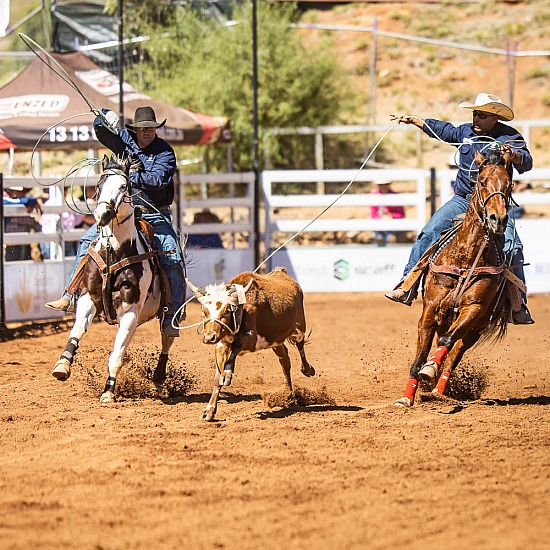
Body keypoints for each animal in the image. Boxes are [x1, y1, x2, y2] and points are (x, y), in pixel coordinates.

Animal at [51, 153, 176, 404]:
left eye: (123, 186)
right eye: (99, 185)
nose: (103, 215)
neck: (115, 252)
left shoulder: (130, 311)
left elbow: (116, 356)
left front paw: (109, 391)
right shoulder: (89, 298)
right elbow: (76, 331)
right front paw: (63, 365)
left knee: (167, 336)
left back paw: (158, 375)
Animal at [396, 149, 516, 408]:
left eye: (509, 184)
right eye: (482, 181)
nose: (498, 219)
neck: (465, 258)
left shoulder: (473, 309)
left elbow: (447, 343)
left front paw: (430, 369)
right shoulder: (430, 310)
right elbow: (418, 358)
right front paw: (406, 397)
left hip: (475, 328)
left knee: (453, 354)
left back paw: (438, 390)